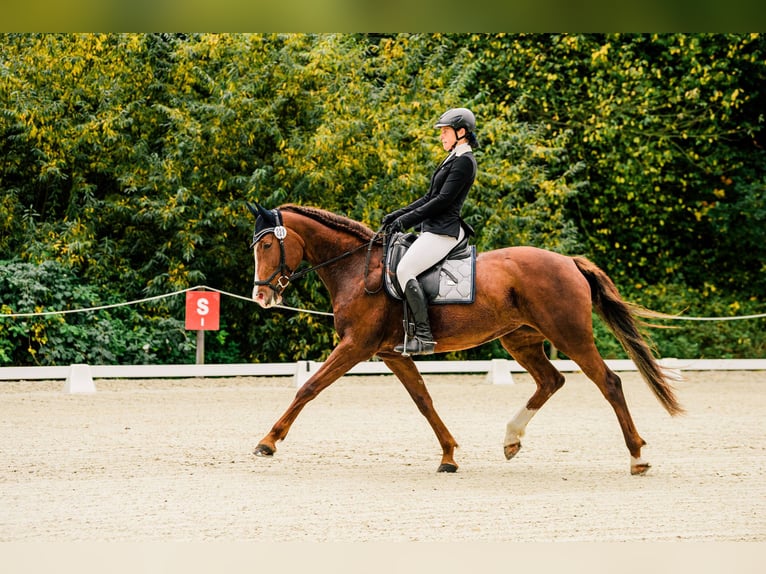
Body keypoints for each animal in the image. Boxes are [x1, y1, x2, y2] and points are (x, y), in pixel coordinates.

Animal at [248, 203, 683, 475]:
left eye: (267, 244)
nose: (261, 296)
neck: (358, 268)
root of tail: (568, 262)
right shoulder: (393, 354)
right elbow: (424, 401)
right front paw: (449, 456)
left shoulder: (357, 346)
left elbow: (310, 388)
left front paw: (268, 441)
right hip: (521, 340)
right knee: (550, 380)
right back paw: (511, 439)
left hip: (570, 335)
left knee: (609, 382)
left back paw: (637, 457)